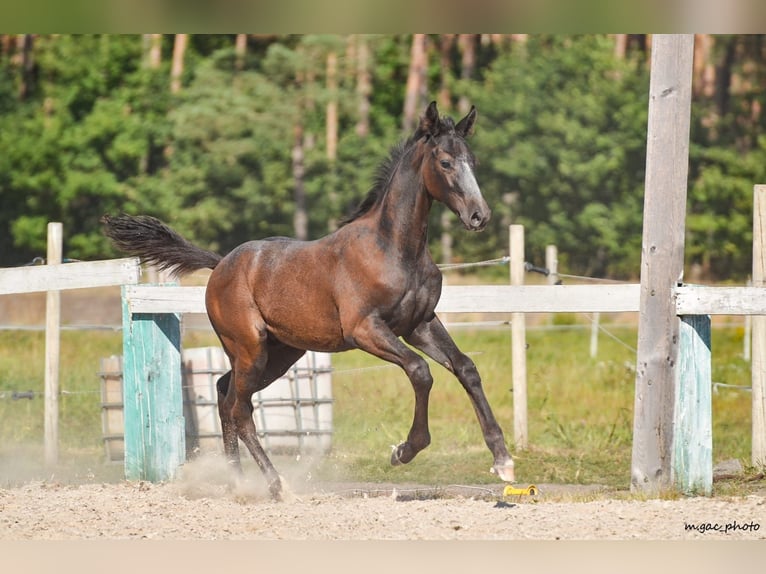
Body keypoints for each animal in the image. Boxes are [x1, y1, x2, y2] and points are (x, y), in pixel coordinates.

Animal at [102, 101, 515, 500]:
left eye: (473, 161)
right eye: (445, 162)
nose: (479, 216)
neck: (394, 249)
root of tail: (221, 265)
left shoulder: (420, 324)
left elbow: (465, 368)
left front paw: (503, 459)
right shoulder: (365, 329)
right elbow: (420, 371)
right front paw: (404, 450)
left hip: (280, 354)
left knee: (223, 394)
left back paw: (237, 483)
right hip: (250, 350)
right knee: (239, 408)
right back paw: (274, 484)